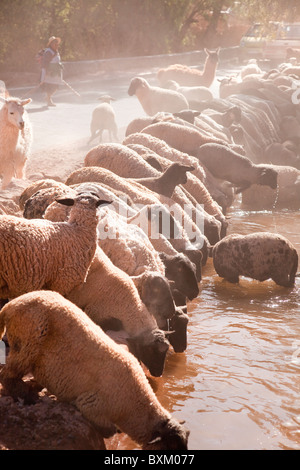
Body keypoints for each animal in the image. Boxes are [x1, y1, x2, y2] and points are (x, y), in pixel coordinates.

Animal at [0, 290, 190, 448]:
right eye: (170, 446)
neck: (132, 406)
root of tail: (10, 306)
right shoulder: (91, 407)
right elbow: (109, 431)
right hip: (27, 343)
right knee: (7, 375)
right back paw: (25, 394)